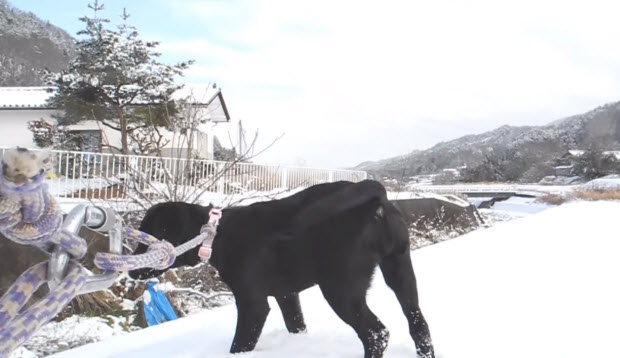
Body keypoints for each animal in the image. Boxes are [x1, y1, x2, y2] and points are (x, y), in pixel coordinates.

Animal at [128, 182, 434, 358]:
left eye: (149, 236)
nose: (130, 271)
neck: (215, 234)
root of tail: (376, 198)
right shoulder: (287, 295)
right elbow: (296, 325)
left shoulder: (252, 304)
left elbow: (239, 345)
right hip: (399, 271)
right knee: (418, 324)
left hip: (341, 289)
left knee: (376, 334)